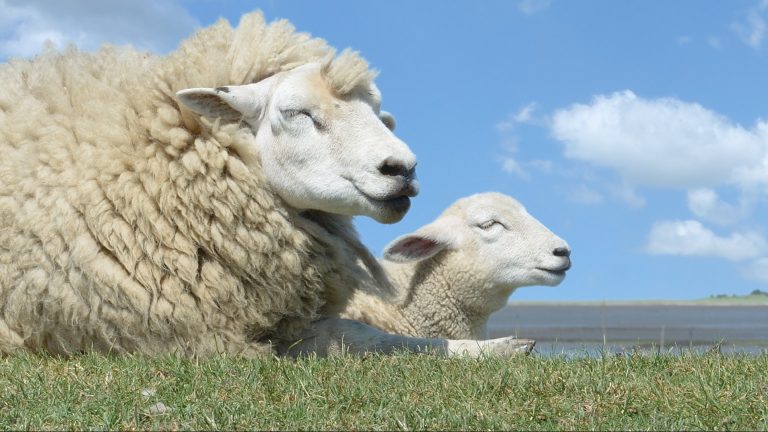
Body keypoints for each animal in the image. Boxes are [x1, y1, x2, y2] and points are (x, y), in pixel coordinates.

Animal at [0, 11, 533, 358]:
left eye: (378, 113)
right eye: (296, 112)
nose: (402, 169)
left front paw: (495, 346)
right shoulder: (188, 337)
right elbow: (356, 336)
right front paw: (488, 349)